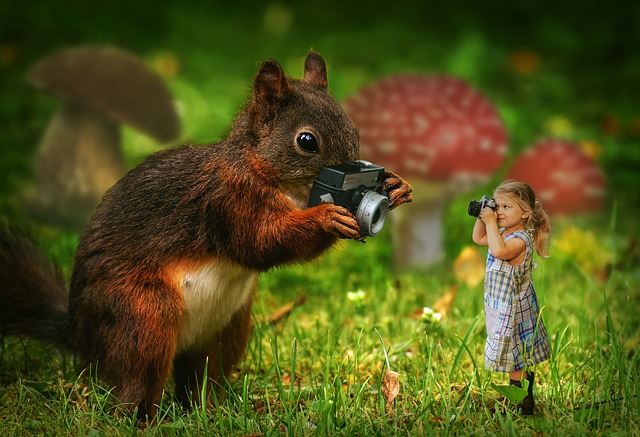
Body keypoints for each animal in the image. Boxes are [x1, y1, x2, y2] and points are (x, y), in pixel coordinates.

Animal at [0, 51, 412, 420]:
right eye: (306, 141)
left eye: (354, 129)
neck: (284, 185)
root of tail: (79, 332)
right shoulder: (228, 199)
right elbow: (261, 242)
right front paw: (327, 217)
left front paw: (396, 186)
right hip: (142, 314)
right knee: (133, 384)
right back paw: (144, 421)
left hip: (229, 327)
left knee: (201, 378)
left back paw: (211, 411)